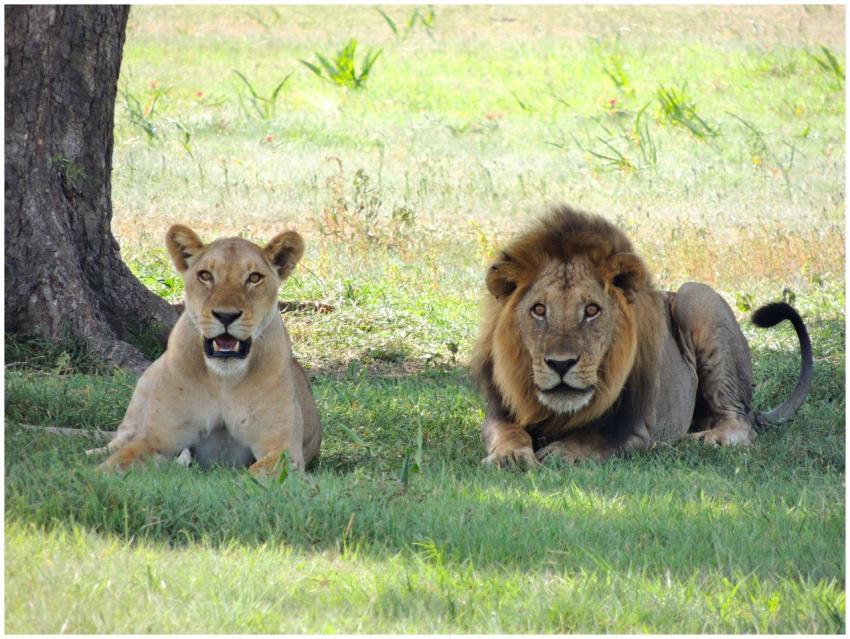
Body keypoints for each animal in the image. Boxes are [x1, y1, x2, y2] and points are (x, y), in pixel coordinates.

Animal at [97, 225, 322, 477]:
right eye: (205, 275)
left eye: (254, 278)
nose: (226, 315)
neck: (224, 379)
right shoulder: (156, 439)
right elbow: (116, 463)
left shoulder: (282, 448)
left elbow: (256, 474)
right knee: (118, 440)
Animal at [471, 205, 813, 468]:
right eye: (539, 310)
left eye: (592, 310)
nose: (560, 364)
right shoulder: (499, 412)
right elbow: (508, 433)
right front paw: (510, 456)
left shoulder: (639, 428)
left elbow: (595, 438)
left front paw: (562, 452)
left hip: (696, 296)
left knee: (740, 423)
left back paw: (705, 439)